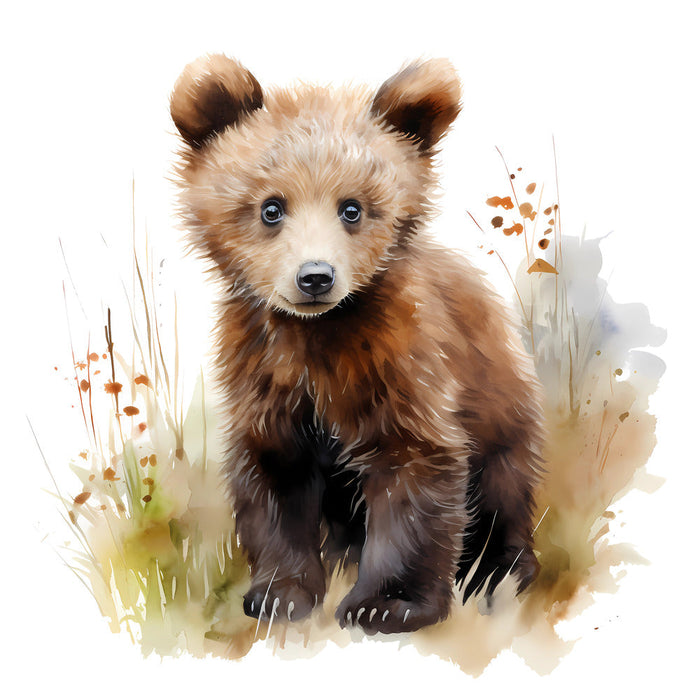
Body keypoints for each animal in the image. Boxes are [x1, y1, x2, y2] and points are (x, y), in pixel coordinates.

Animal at [169, 54, 544, 635]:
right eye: (271, 207)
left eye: (352, 208)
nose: (315, 277)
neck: (316, 336)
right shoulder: (266, 378)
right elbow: (275, 481)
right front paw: (279, 595)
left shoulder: (404, 366)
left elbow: (414, 470)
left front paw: (387, 603)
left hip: (502, 415)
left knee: (503, 498)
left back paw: (496, 576)